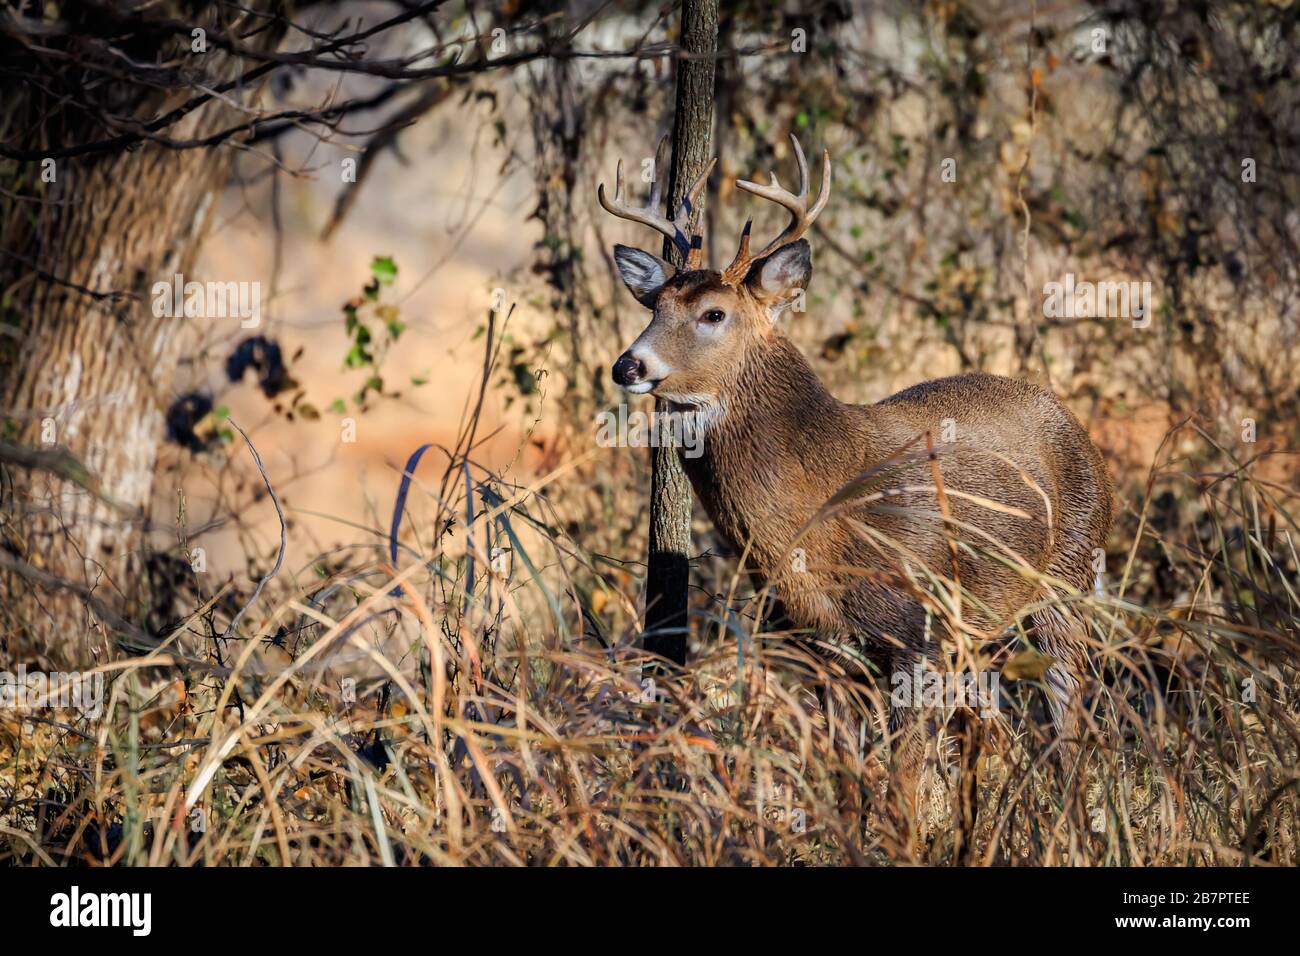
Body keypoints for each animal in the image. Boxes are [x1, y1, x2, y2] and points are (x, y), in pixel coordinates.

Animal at [599, 134, 1114, 831]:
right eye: (653, 305)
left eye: (713, 313)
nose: (629, 365)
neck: (819, 515)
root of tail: (1074, 424)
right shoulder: (821, 644)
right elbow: (845, 775)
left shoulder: (921, 631)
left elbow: (902, 780)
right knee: (994, 732)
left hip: (1069, 579)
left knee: (1071, 722)